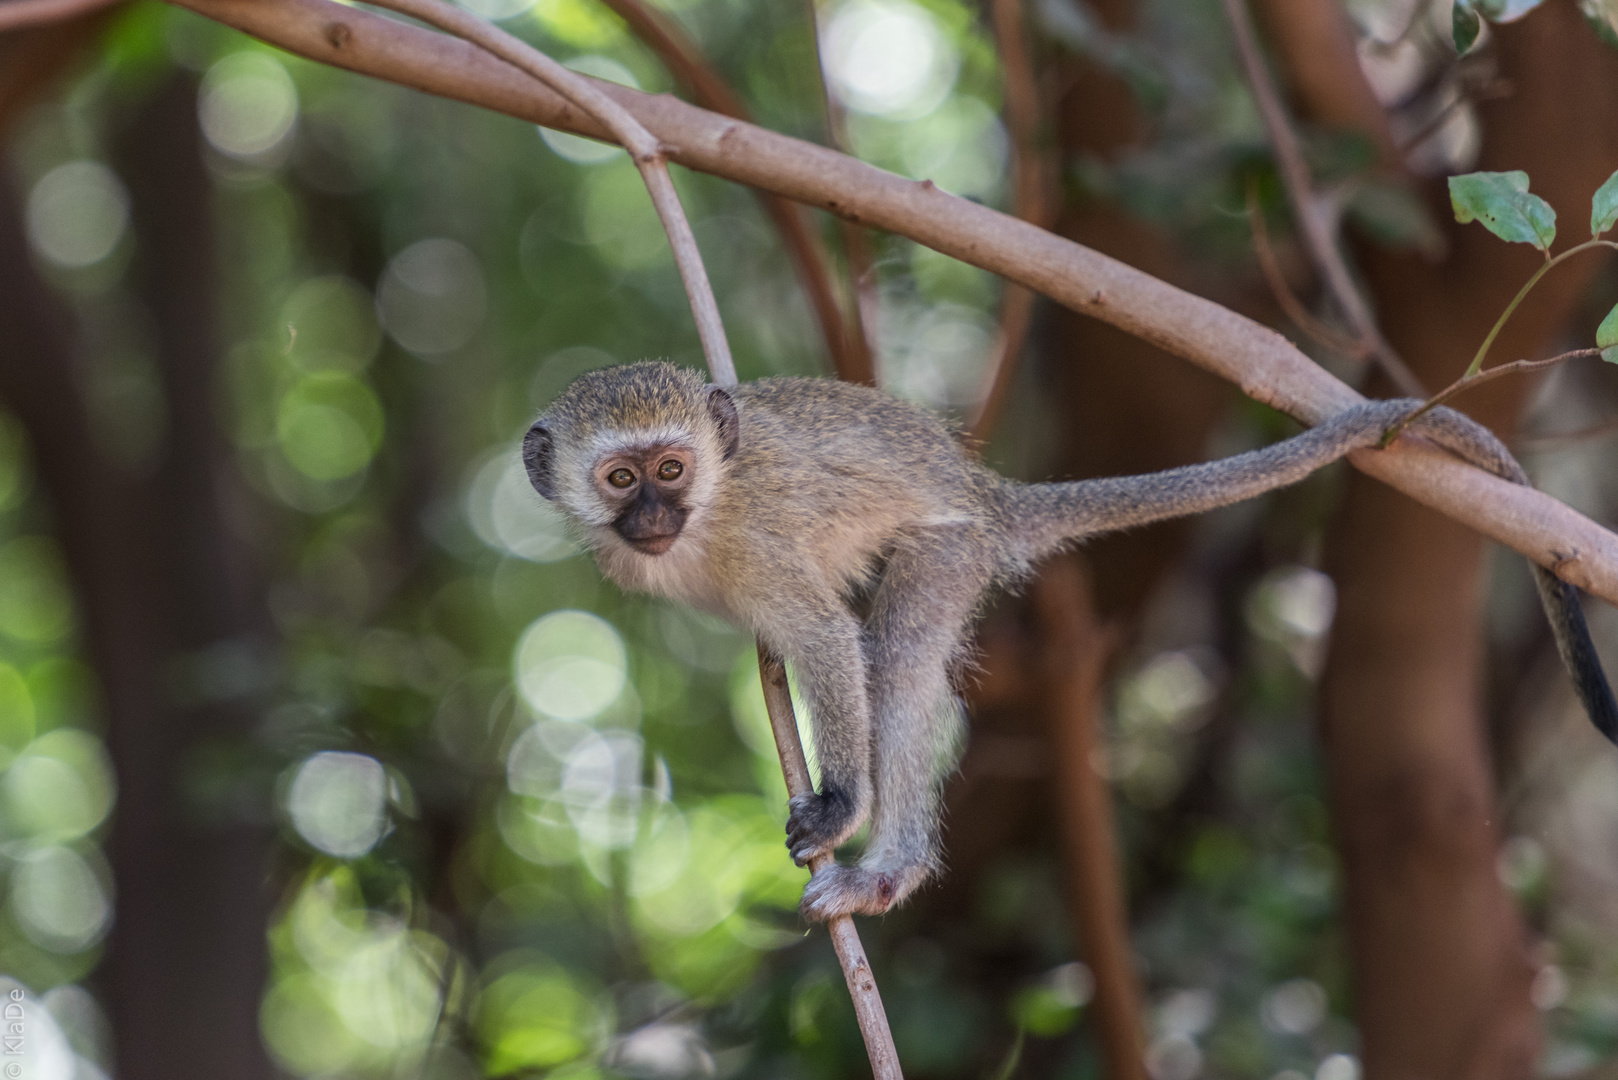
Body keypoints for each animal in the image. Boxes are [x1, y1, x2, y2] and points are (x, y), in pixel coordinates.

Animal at [524, 362, 1611, 919]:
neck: (703, 523)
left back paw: (884, 863)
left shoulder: (757, 546)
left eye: (670, 468)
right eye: (622, 479)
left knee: (897, 661)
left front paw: (836, 806)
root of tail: (982, 493)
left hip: (948, 546)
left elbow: (829, 640)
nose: (652, 515)